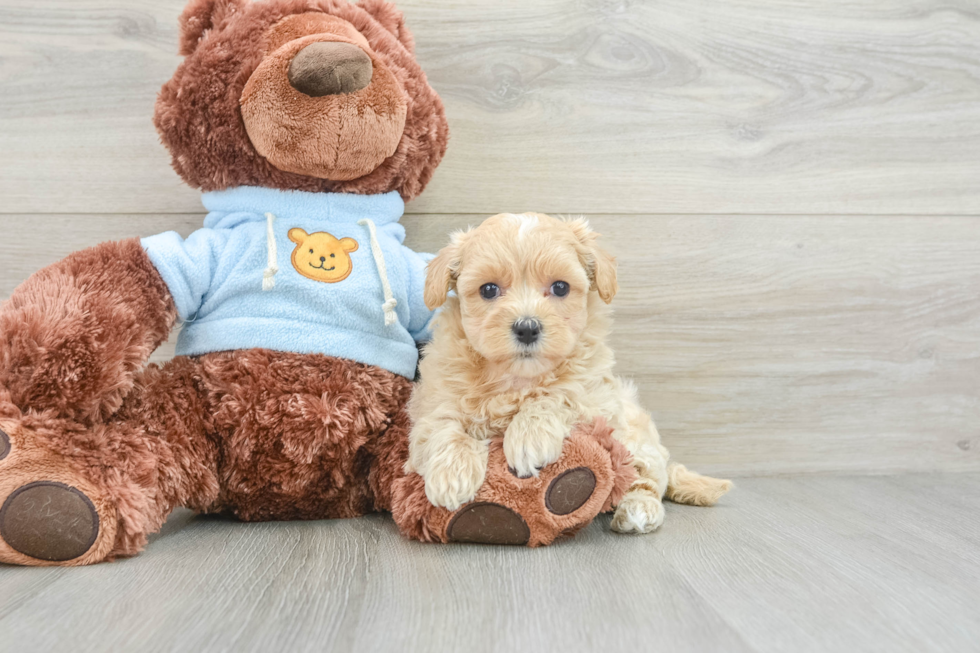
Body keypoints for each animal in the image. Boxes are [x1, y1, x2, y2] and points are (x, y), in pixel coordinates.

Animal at [408, 211, 736, 532]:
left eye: (560, 287)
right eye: (488, 289)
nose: (527, 328)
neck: (518, 377)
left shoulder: (597, 400)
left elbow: (559, 396)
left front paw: (529, 437)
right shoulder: (434, 399)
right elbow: (442, 426)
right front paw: (452, 474)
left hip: (636, 441)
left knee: (646, 480)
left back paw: (638, 510)